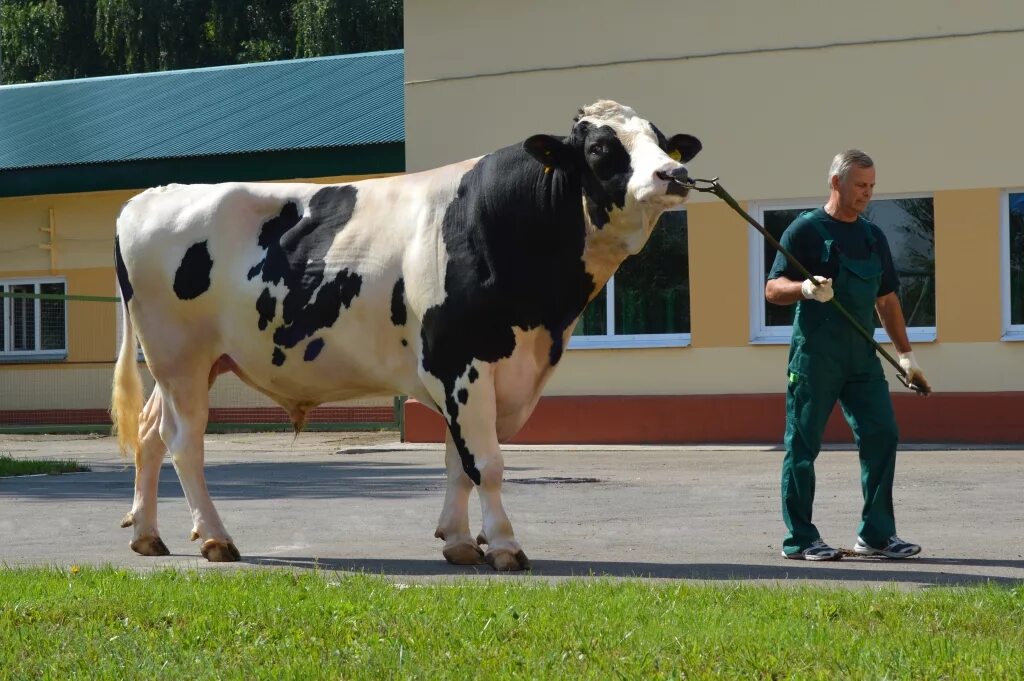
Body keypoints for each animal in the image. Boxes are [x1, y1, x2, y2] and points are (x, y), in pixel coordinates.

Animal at [114, 100, 704, 569]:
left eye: (660, 140)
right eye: (602, 148)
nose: (673, 174)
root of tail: (151, 195)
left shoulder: (479, 372)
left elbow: (457, 464)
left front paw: (460, 542)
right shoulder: (460, 361)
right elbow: (485, 464)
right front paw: (504, 546)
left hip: (186, 364)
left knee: (149, 433)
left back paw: (147, 535)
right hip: (180, 357)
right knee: (184, 442)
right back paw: (216, 539)